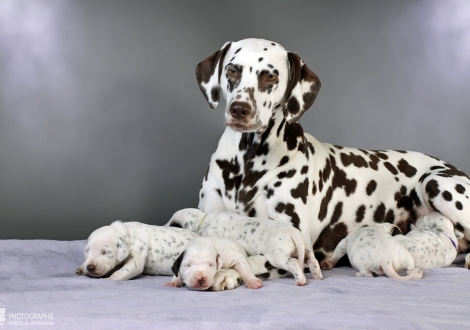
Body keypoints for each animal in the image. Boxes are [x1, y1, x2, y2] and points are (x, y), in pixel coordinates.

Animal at [167, 208, 318, 284]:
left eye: (174, 224)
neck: (204, 220)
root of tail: (293, 233)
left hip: (278, 256)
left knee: (294, 262)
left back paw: (301, 280)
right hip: (306, 250)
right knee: (312, 260)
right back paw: (317, 275)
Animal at [194, 37, 470, 278]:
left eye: (270, 76)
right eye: (232, 70)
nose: (239, 109)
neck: (247, 162)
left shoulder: (295, 237)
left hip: (436, 183)